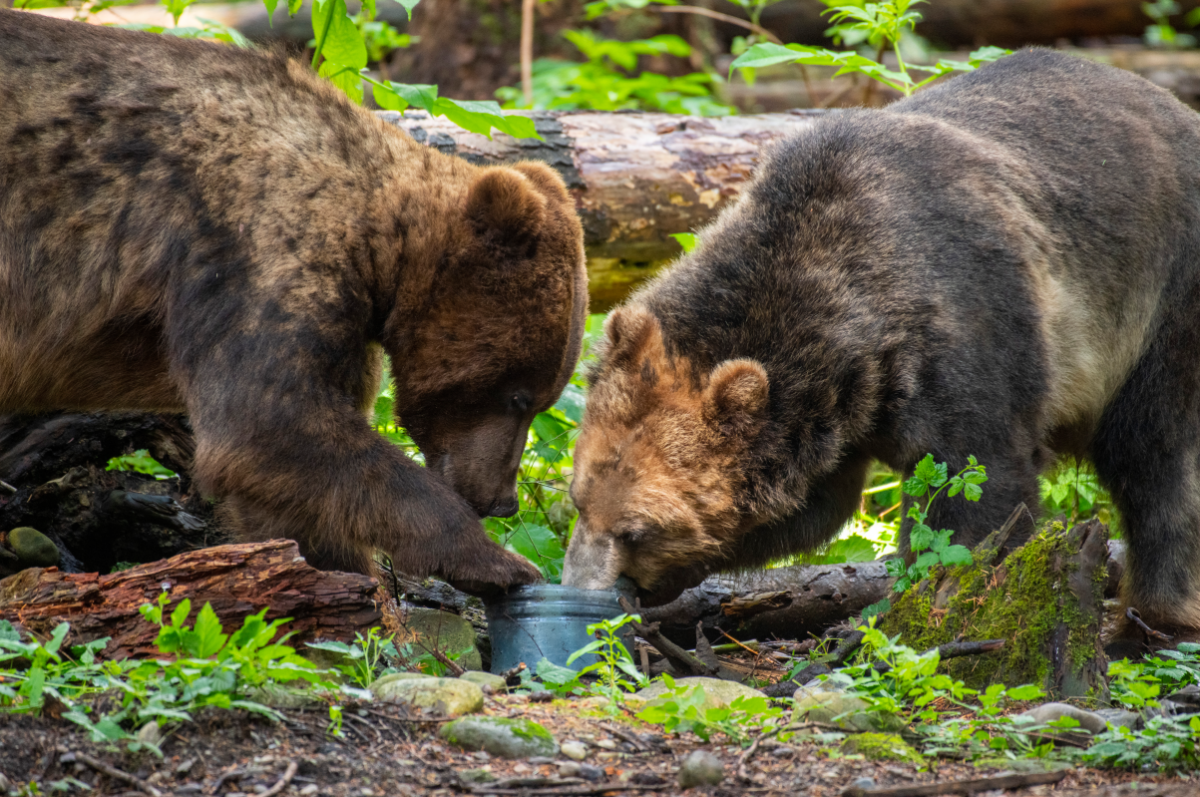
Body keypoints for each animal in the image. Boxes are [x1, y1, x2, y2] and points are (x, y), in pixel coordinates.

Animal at [0, 10, 588, 592]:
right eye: (518, 395)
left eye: (542, 398)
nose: (502, 500)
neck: (379, 248)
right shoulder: (254, 236)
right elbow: (268, 419)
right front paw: (495, 561)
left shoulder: (344, 319)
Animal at [561, 49, 1200, 651]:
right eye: (577, 499)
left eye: (637, 530)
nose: (579, 586)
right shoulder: (831, 425)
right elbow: (817, 508)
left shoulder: (974, 326)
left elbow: (977, 490)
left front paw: (932, 612)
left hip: (1159, 301)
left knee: (1156, 459)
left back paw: (1150, 623)